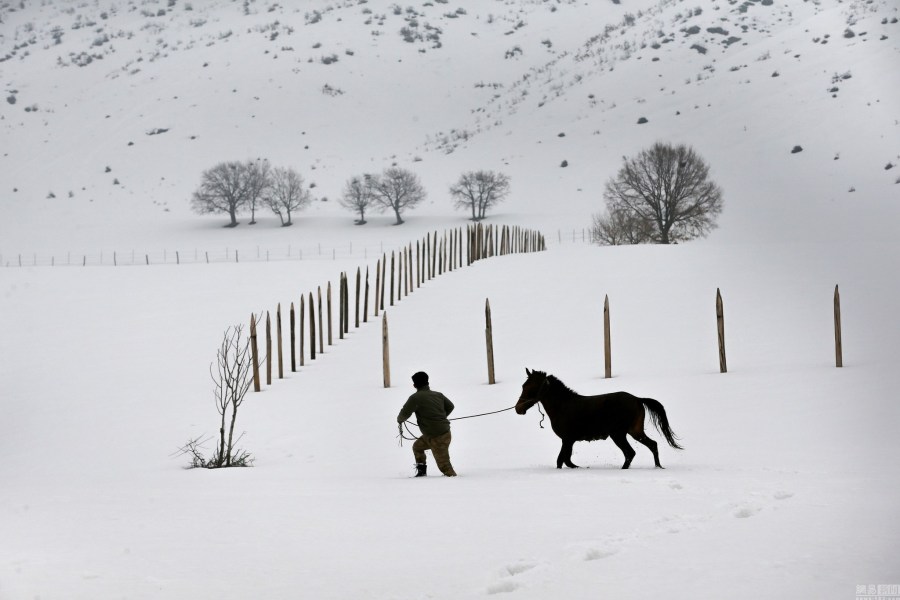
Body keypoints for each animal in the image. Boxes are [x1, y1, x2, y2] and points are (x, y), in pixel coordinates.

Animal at [512, 368, 684, 472]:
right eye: (523, 386)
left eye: (529, 387)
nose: (518, 409)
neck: (563, 406)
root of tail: (637, 399)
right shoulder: (569, 441)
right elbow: (565, 461)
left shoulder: (567, 439)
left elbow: (562, 460)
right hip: (634, 431)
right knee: (652, 445)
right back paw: (658, 467)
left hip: (619, 434)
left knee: (630, 452)